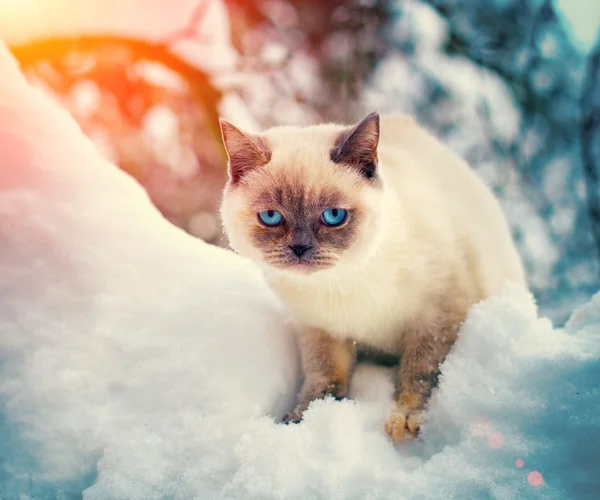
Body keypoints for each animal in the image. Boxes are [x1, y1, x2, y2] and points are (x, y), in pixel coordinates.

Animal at [217, 113, 524, 442]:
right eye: (271, 217)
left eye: (334, 216)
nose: (299, 249)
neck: (339, 286)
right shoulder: (321, 331)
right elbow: (324, 380)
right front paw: (304, 420)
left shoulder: (438, 318)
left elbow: (419, 375)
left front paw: (404, 420)